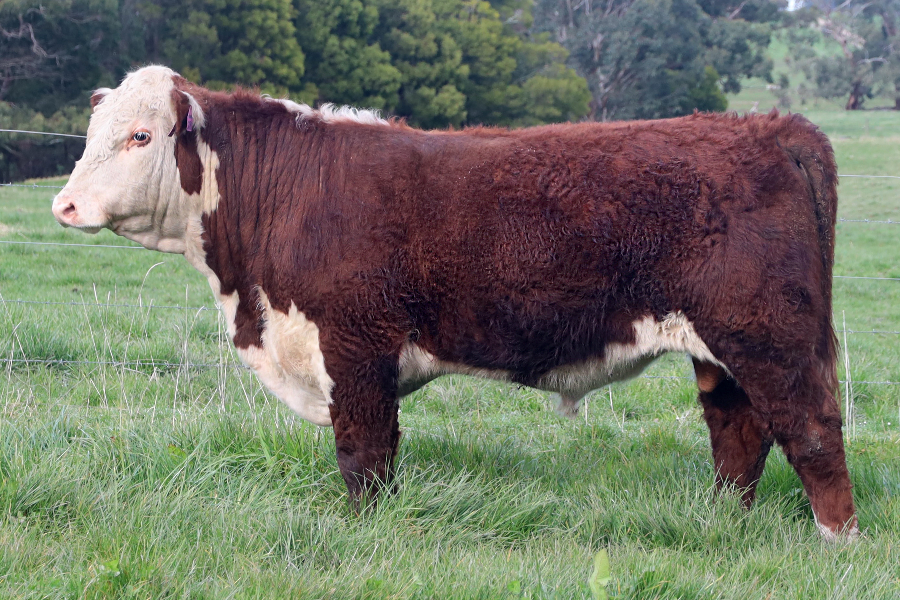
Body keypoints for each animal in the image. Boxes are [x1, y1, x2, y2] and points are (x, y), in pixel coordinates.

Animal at [52, 66, 857, 538]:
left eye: (141, 135)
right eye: (90, 134)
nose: (64, 204)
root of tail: (771, 127)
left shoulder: (356, 345)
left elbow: (364, 452)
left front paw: (368, 534)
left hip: (772, 335)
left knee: (812, 431)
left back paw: (836, 540)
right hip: (721, 348)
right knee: (739, 435)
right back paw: (721, 523)